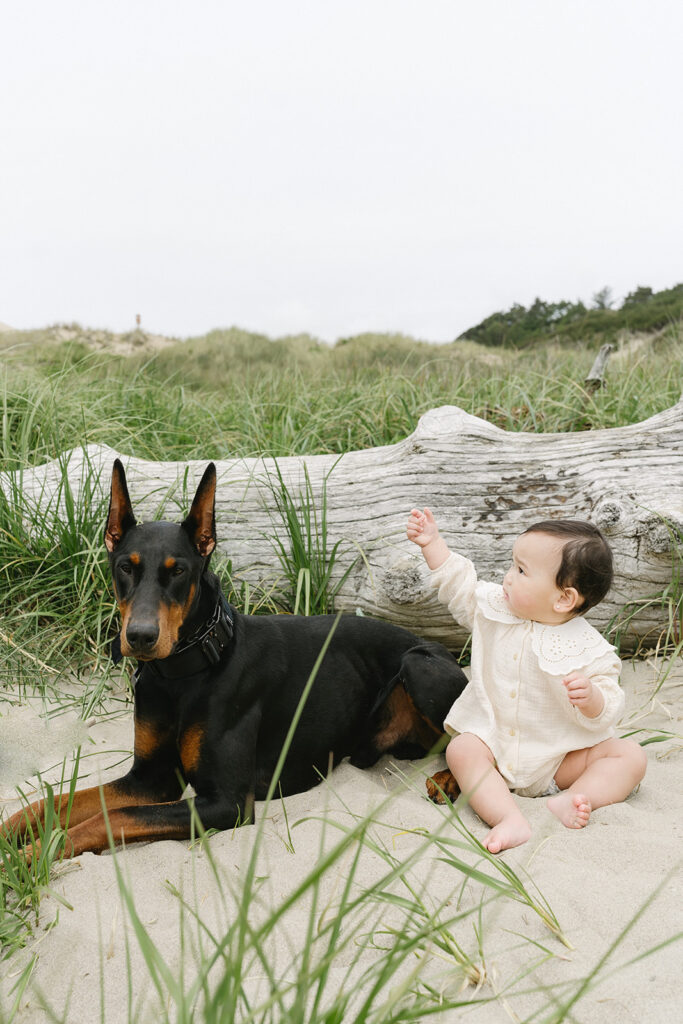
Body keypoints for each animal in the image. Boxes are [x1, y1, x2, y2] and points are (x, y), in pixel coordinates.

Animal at [2, 464, 466, 856]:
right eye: (125, 568)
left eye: (178, 571)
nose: (140, 638)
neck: (182, 675)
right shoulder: (149, 777)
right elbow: (54, 801)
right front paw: (14, 836)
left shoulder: (226, 803)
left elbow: (110, 818)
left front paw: (31, 856)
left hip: (419, 666)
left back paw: (448, 780)